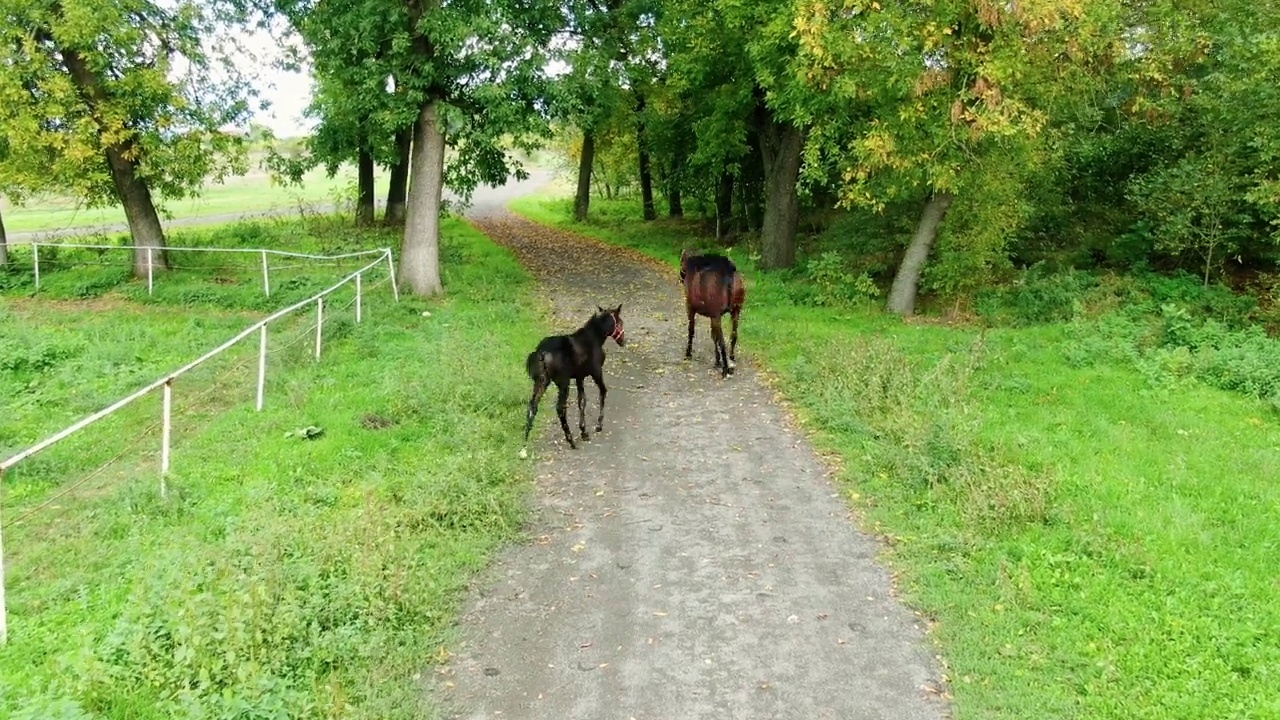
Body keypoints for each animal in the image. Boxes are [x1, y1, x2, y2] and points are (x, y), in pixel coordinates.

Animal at [675, 245, 747, 376]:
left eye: (681, 262)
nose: (680, 278)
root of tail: (729, 272)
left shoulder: (690, 307)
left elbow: (691, 330)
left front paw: (688, 353)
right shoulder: (713, 315)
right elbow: (714, 336)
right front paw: (717, 360)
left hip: (717, 315)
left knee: (722, 341)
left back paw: (725, 368)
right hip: (736, 311)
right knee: (733, 335)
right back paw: (731, 358)